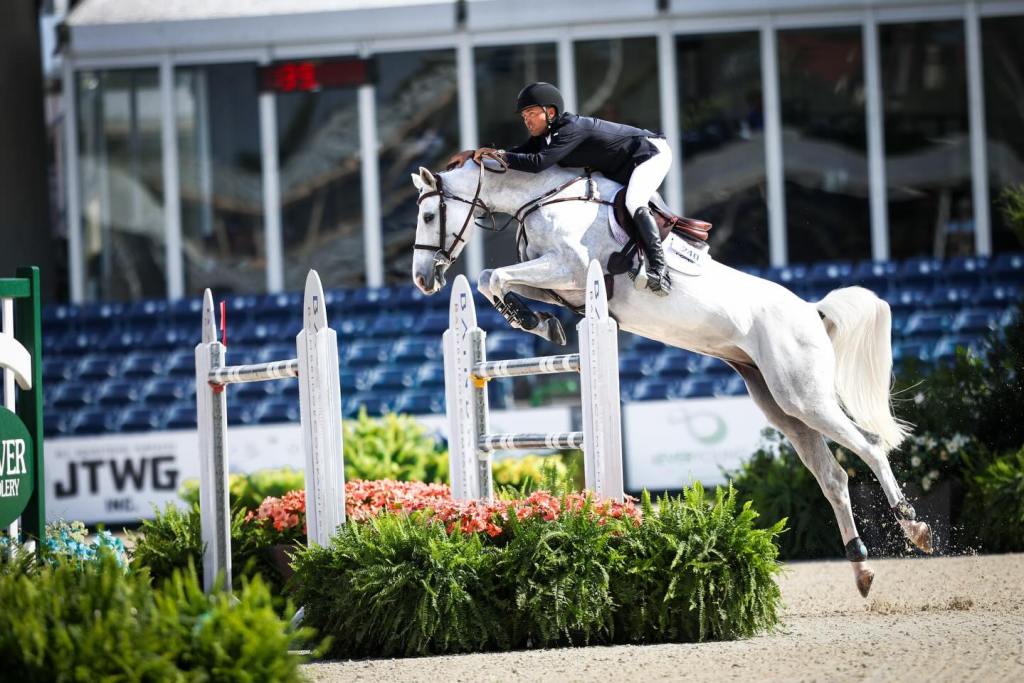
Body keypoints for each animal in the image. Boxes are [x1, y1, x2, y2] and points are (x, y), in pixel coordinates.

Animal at [409, 160, 932, 597]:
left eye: (430, 216)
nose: (421, 280)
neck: (541, 197)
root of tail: (811, 309)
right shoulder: (558, 282)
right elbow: (493, 280)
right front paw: (538, 322)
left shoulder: (572, 270)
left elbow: (493, 276)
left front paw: (532, 320)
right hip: (781, 405)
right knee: (834, 477)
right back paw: (862, 569)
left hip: (805, 397)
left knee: (870, 447)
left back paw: (914, 528)